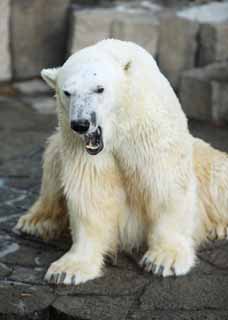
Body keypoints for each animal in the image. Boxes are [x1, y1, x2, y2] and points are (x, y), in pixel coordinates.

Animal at [16, 39, 228, 284]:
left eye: (99, 88)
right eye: (67, 92)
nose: (81, 124)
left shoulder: (148, 128)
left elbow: (166, 182)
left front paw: (164, 260)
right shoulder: (79, 147)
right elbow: (91, 190)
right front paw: (67, 269)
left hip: (202, 156)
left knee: (218, 174)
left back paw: (220, 226)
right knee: (51, 163)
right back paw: (34, 222)